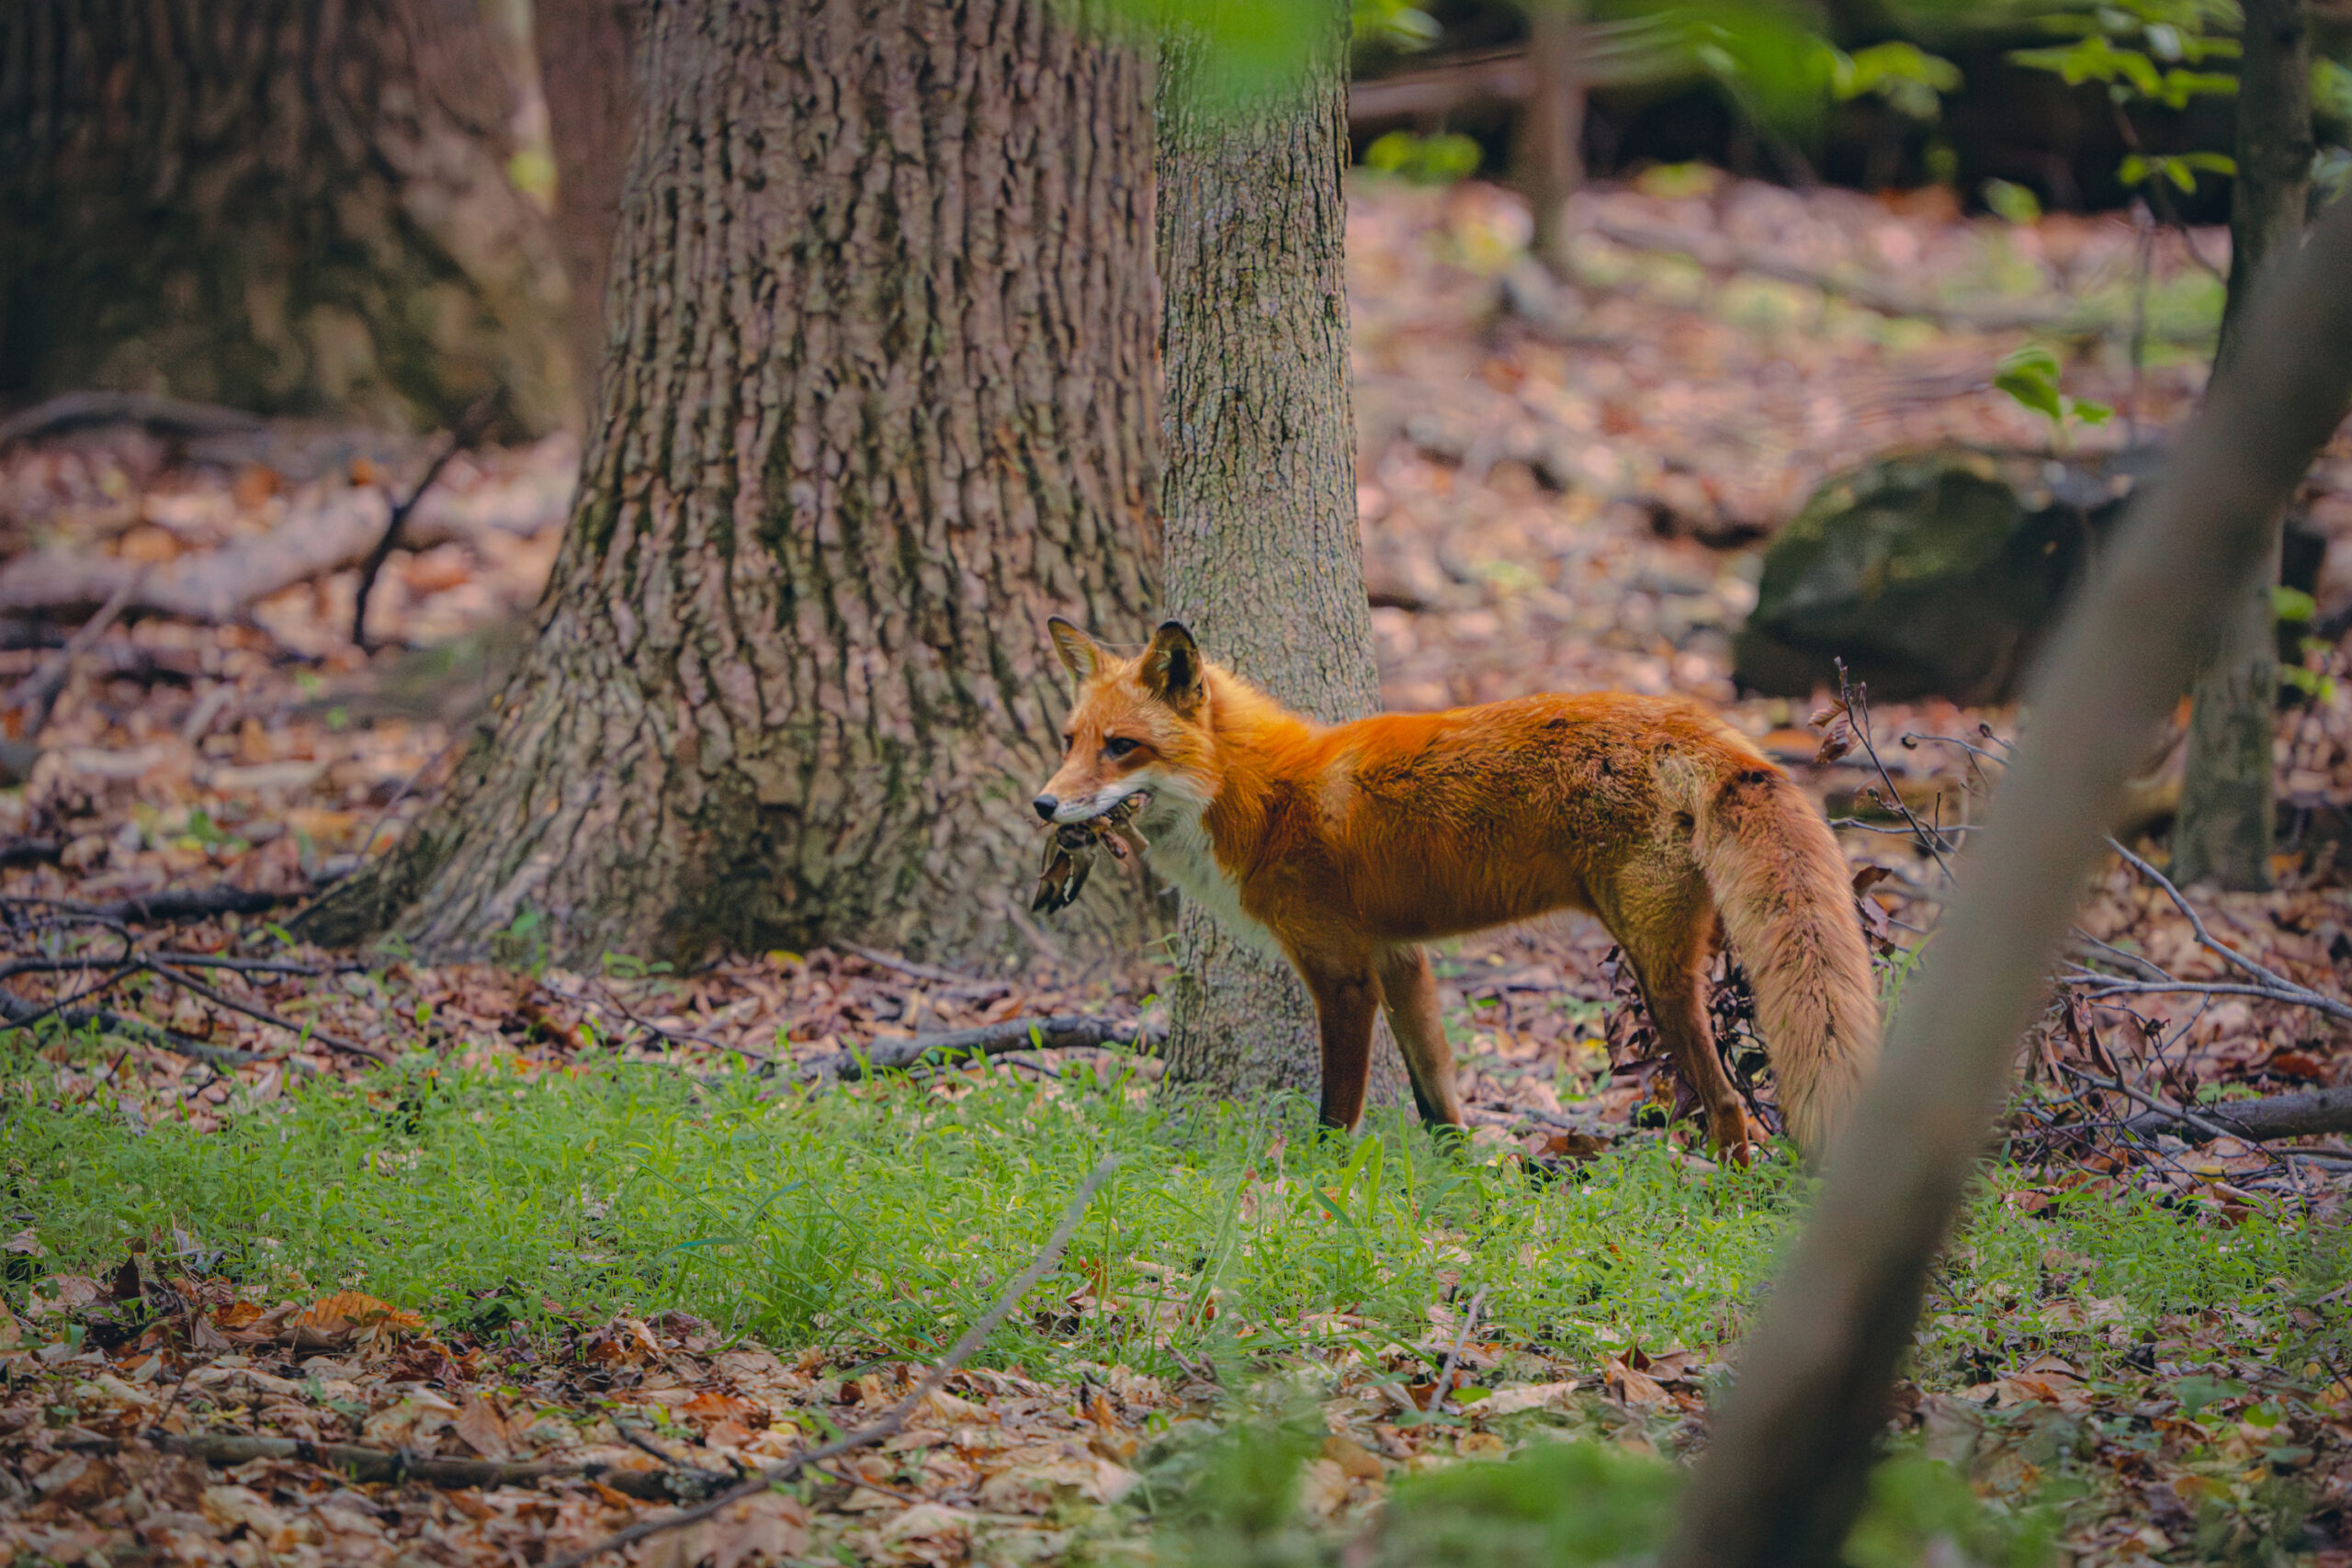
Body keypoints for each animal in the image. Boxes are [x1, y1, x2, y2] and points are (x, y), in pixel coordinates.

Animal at [1032, 617, 1882, 1160]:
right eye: (1069, 742)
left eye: (1121, 747)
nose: (1043, 804)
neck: (1267, 797)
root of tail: (1702, 727)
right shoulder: (1402, 960)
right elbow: (1438, 1101)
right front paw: (1459, 1189)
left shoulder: (1343, 975)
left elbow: (1335, 1116)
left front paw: (1311, 1195)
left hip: (1658, 972)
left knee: (1729, 1099)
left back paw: (1728, 1189)